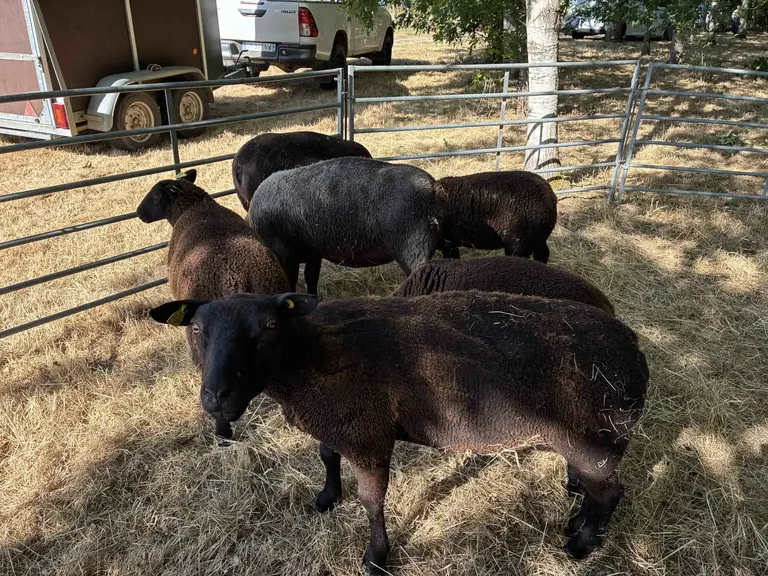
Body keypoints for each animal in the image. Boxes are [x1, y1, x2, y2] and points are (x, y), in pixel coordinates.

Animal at [149, 290, 649, 573]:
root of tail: (636, 349)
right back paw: (577, 524)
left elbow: (372, 502)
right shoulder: (337, 422)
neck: (311, 355)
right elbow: (326, 456)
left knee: (610, 493)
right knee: (596, 491)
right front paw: (326, 498)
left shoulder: (368, 436)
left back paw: (580, 545)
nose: (215, 397)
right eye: (197, 329)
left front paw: (375, 558)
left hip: (596, 441)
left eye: (270, 326)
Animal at [246, 156, 444, 294]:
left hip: (413, 244)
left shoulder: (286, 255)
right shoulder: (313, 252)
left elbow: (292, 282)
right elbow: (311, 277)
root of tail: (433, 187)